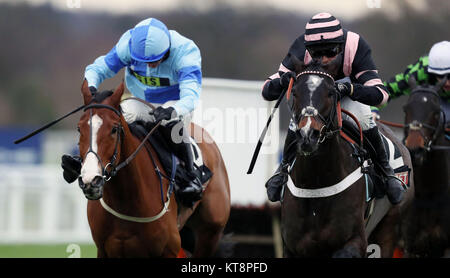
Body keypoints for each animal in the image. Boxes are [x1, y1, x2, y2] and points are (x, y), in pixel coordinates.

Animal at [76, 79, 230, 258]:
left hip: (209, 233)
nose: (90, 180)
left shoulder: (169, 250)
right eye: (79, 128)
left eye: (114, 129)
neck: (125, 200)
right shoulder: (104, 251)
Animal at [284, 56, 414, 258]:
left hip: (389, 227)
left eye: (331, 92)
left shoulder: (355, 241)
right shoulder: (292, 246)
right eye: (295, 92)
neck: (316, 183)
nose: (308, 135)